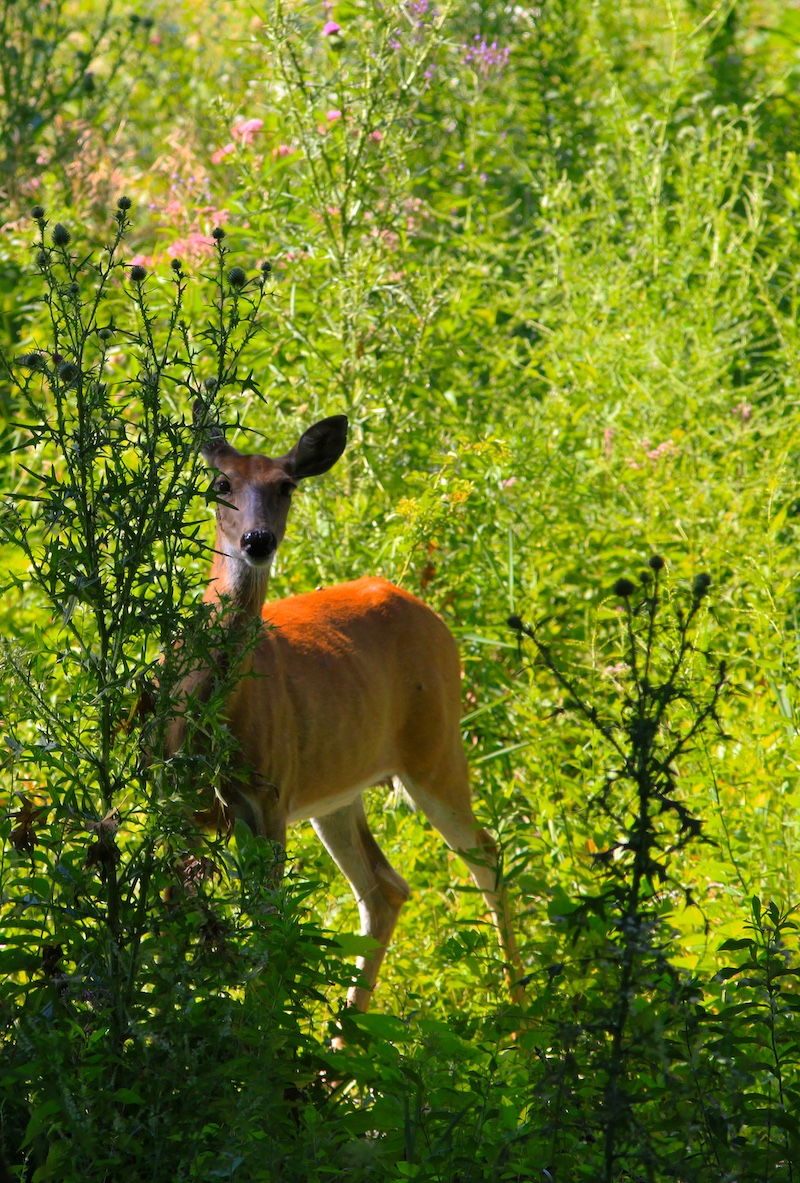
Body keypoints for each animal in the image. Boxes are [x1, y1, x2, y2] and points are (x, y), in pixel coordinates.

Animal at [164, 404, 523, 1011]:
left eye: (286, 485)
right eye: (222, 484)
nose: (258, 539)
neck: (208, 717)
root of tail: (428, 612)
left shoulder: (268, 797)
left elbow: (269, 930)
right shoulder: (171, 802)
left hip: (435, 748)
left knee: (486, 856)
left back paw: (523, 1013)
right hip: (337, 790)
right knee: (385, 886)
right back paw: (347, 1032)